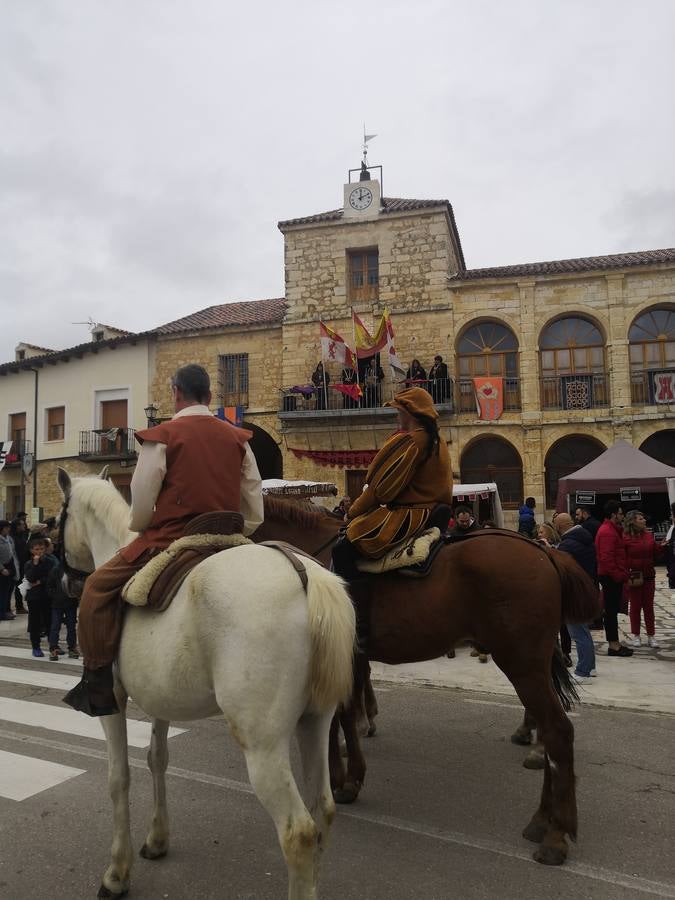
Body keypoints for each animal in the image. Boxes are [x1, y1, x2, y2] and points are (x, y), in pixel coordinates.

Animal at [56, 468, 360, 900]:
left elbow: (119, 778)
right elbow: (157, 759)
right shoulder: (160, 700)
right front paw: (157, 840)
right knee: (323, 810)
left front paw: (117, 874)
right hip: (315, 722)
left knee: (298, 832)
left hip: (263, 745)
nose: (67, 583)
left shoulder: (113, 700)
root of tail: (306, 575)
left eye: (58, 520)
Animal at [254, 496, 604, 868]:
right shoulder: (347, 658)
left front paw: (343, 780)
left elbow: (339, 716)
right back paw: (541, 820)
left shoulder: (335, 656)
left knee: (557, 730)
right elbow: (339, 715)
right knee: (551, 730)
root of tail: (544, 551)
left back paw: (556, 835)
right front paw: (345, 773)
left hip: (522, 663)